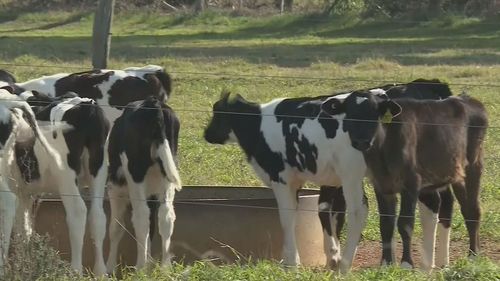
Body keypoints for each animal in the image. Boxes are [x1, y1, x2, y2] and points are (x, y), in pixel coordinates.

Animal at [105, 95, 182, 270]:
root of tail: (153, 102)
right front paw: (150, 262)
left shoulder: (115, 187)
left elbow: (116, 227)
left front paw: (109, 267)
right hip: (167, 176)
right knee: (166, 217)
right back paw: (164, 268)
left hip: (135, 175)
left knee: (141, 217)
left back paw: (139, 268)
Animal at [204, 89, 372, 272]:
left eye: (218, 113)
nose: (206, 134)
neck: (258, 125)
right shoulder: (329, 180)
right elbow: (330, 212)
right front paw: (332, 256)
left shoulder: (281, 178)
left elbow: (287, 216)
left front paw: (291, 262)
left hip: (351, 174)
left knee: (359, 210)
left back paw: (345, 267)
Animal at [320, 89, 488, 270]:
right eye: (350, 114)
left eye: (373, 114)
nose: (361, 142)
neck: (384, 147)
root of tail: (468, 99)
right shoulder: (382, 185)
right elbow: (386, 224)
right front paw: (386, 264)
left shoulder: (411, 183)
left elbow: (405, 224)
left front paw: (406, 264)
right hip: (451, 174)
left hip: (473, 167)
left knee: (472, 210)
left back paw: (473, 256)